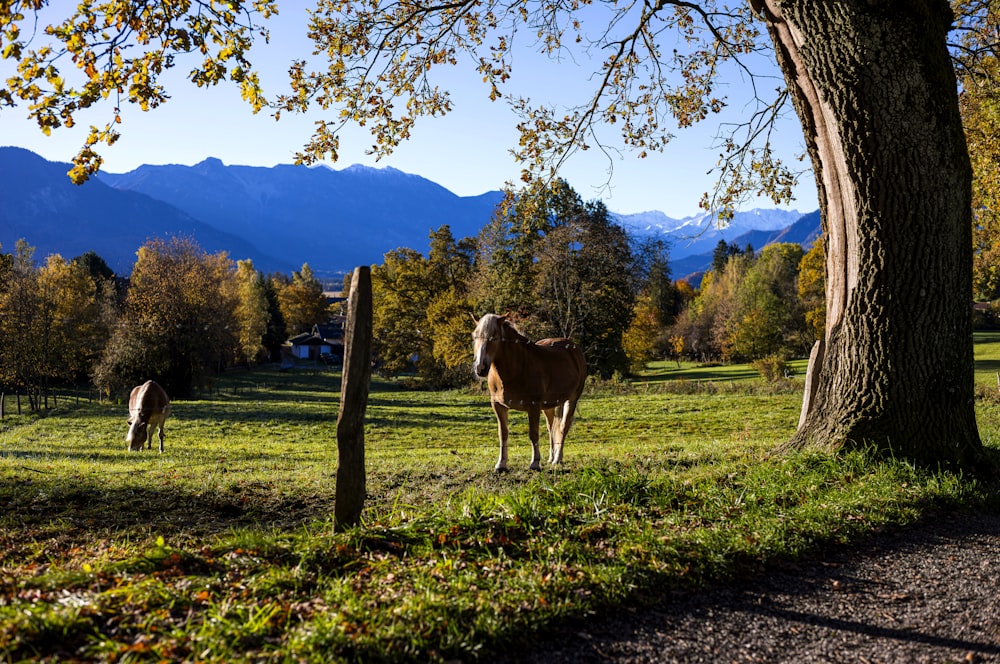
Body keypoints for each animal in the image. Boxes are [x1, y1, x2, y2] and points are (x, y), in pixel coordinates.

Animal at [474, 312, 588, 472]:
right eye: (475, 336)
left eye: (494, 337)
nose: (480, 368)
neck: (517, 368)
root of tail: (574, 349)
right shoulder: (498, 405)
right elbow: (503, 434)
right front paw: (501, 464)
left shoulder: (533, 406)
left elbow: (533, 434)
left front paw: (534, 463)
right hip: (550, 405)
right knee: (551, 427)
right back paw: (551, 458)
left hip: (571, 400)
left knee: (563, 427)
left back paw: (557, 459)